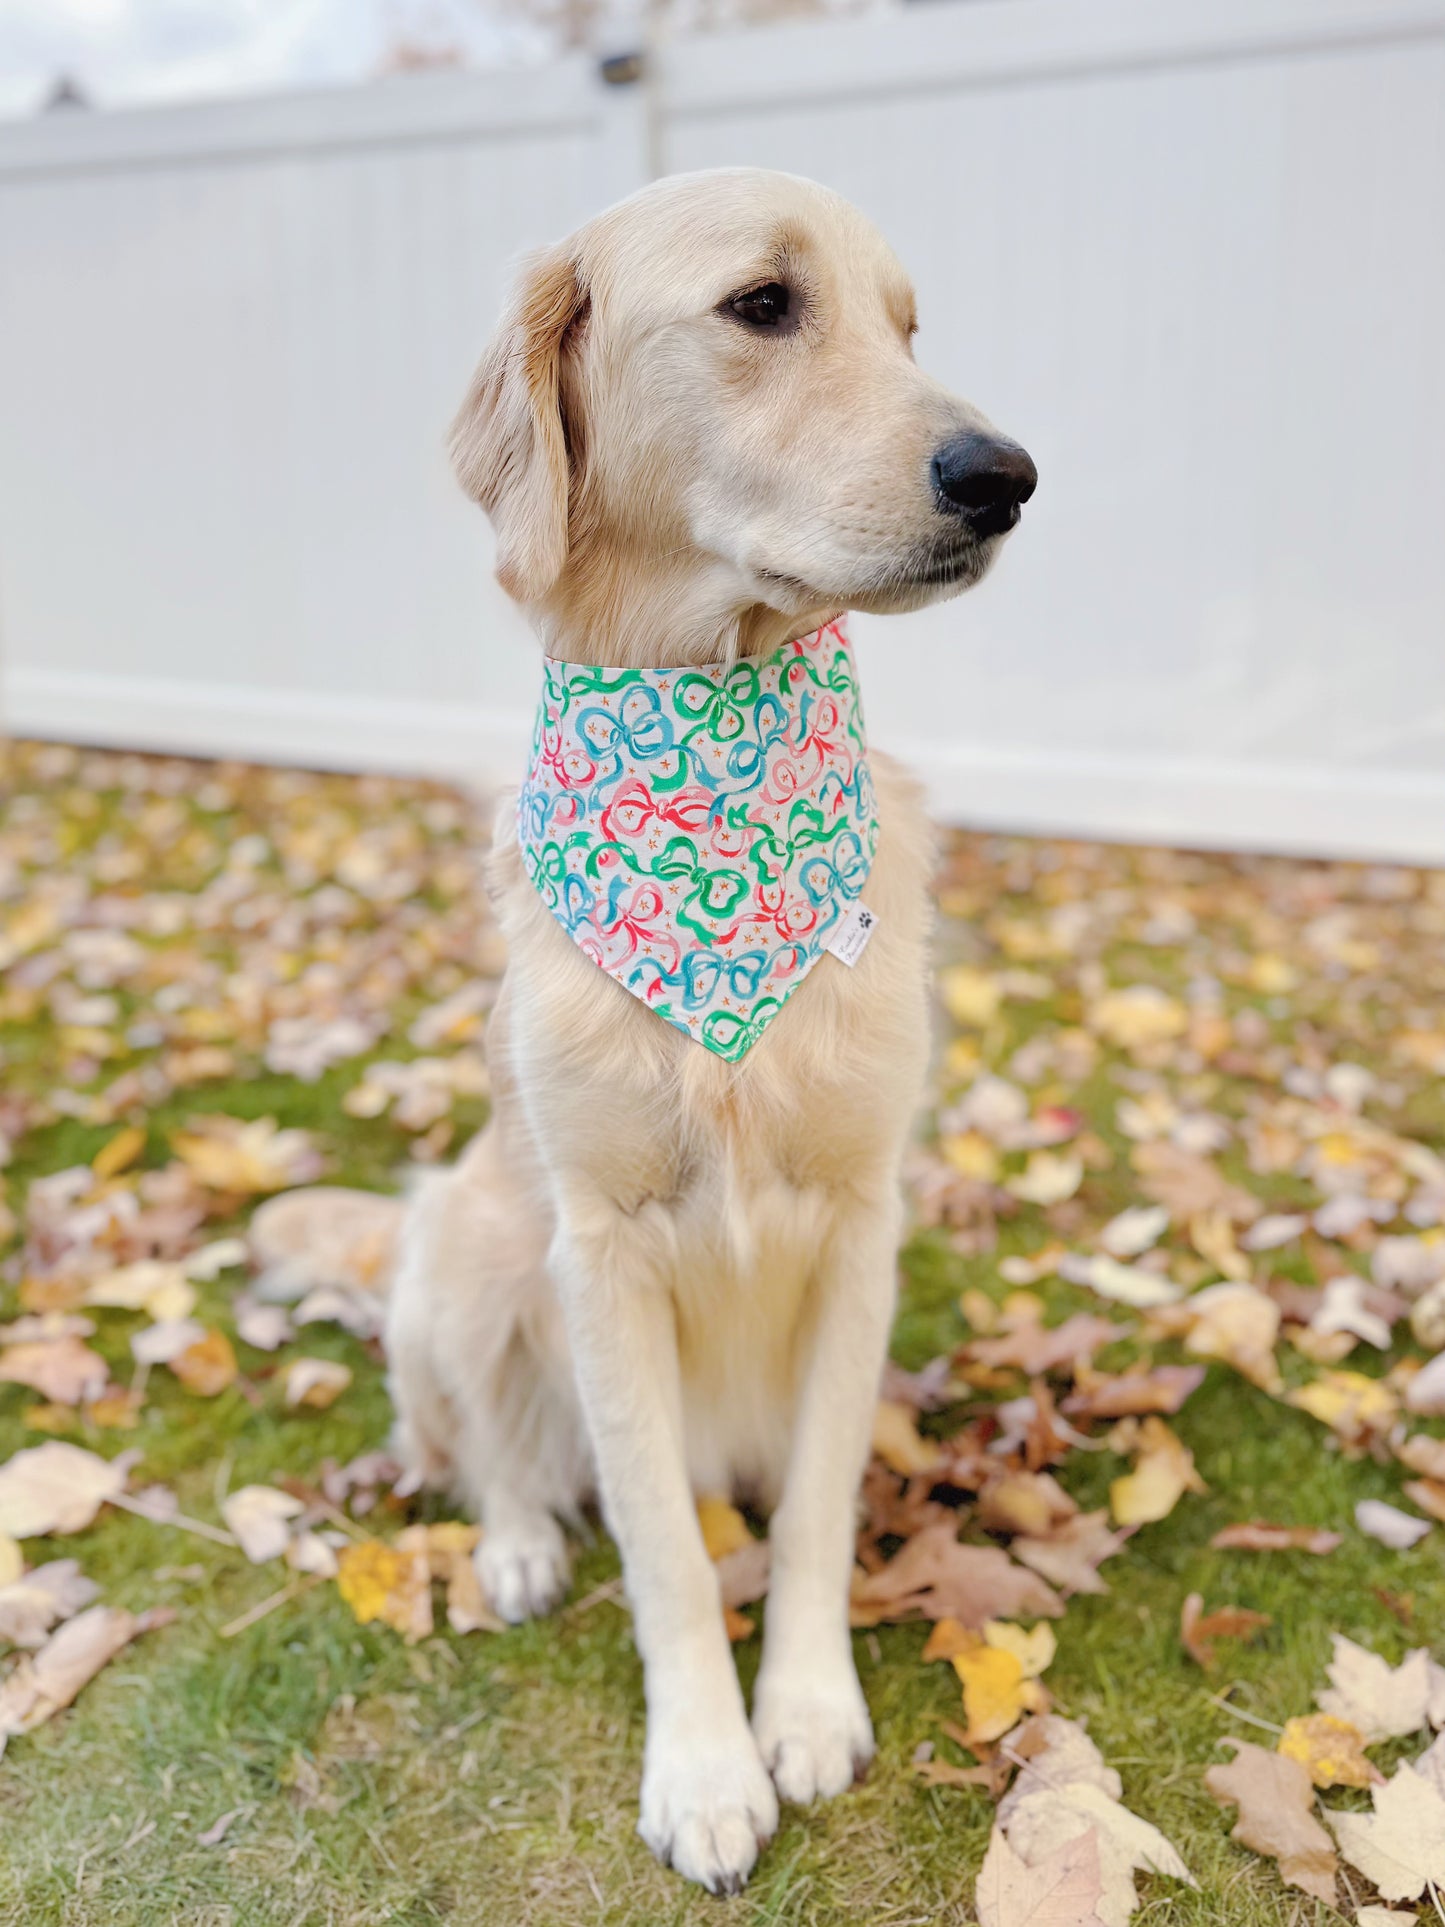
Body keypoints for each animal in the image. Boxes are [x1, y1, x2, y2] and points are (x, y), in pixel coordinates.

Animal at [387, 169, 1040, 1896]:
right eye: (763, 304)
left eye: (906, 327)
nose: (1006, 476)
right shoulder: (598, 1246)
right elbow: (665, 1551)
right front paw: (701, 1768)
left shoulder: (863, 1223)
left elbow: (808, 1511)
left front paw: (800, 1709)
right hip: (460, 1240)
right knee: (493, 1452)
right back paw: (516, 1547)